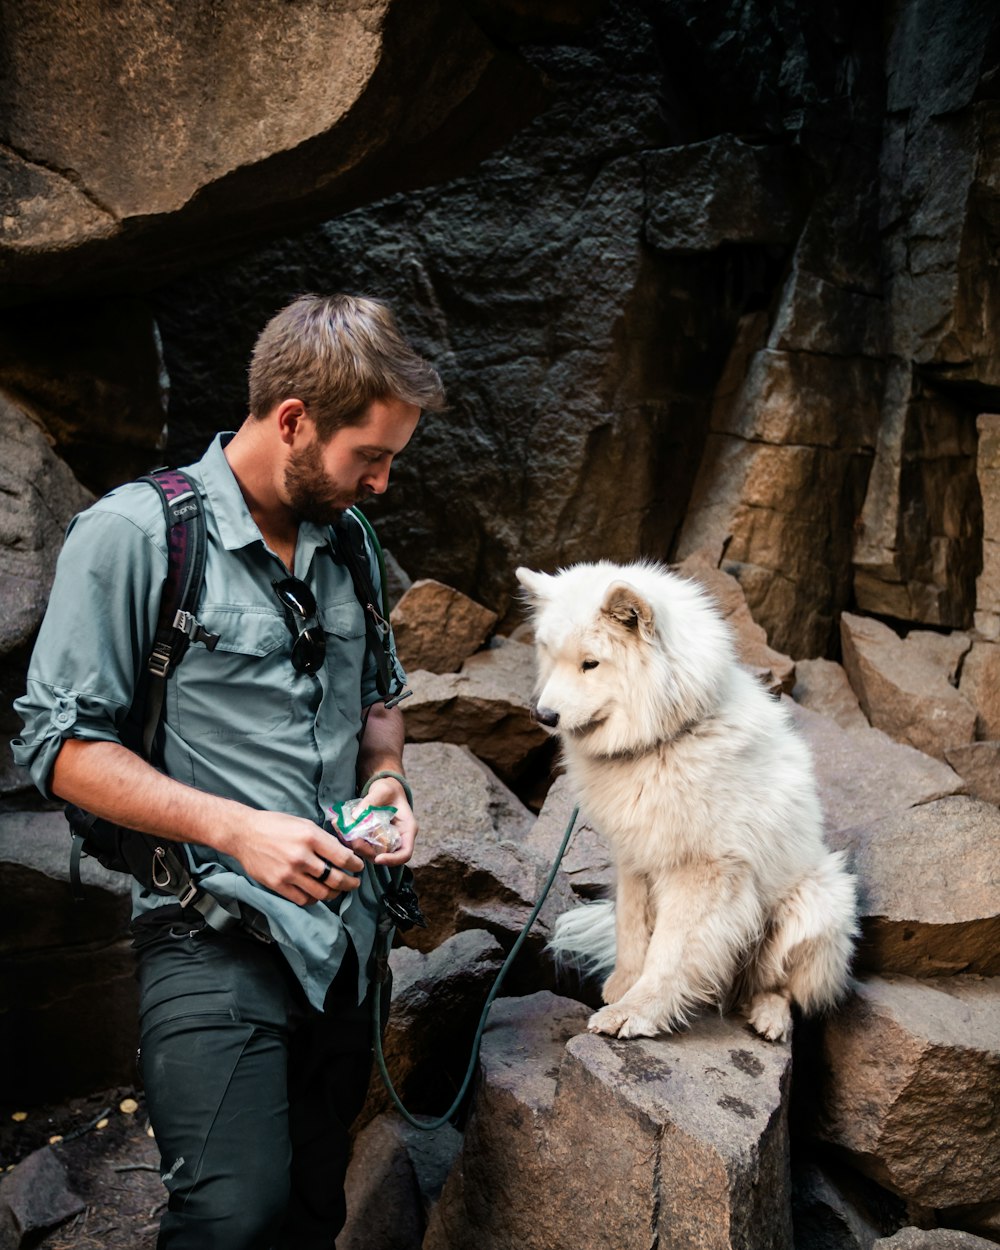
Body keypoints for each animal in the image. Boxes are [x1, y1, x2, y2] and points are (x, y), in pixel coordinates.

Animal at [520, 562, 855, 1040]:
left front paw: (635, 1012)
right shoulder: (635, 858)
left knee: (778, 984)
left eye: (590, 663)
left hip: (818, 901)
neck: (664, 739)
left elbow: (670, 952)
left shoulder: (702, 872)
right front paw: (623, 986)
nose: (543, 715)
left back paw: (769, 1015)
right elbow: (631, 930)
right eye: (551, 655)